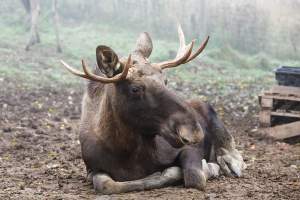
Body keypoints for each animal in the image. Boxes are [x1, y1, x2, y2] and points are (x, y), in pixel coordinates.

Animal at [61, 24, 246, 194]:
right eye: (135, 89)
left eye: (165, 81)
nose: (193, 131)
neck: (126, 151)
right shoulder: (92, 169)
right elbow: (107, 185)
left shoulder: (190, 149)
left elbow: (194, 176)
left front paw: (208, 168)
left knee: (235, 154)